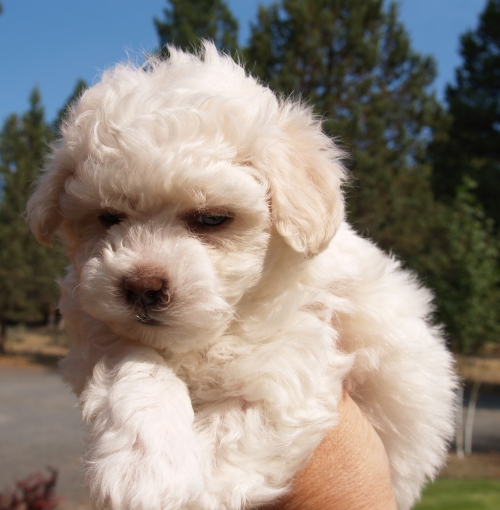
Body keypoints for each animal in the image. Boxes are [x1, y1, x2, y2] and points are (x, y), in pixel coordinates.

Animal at [27, 43, 458, 510]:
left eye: (213, 218)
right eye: (108, 217)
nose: (142, 286)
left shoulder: (294, 361)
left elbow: (230, 435)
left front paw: (168, 483)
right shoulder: (93, 320)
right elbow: (135, 360)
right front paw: (144, 462)